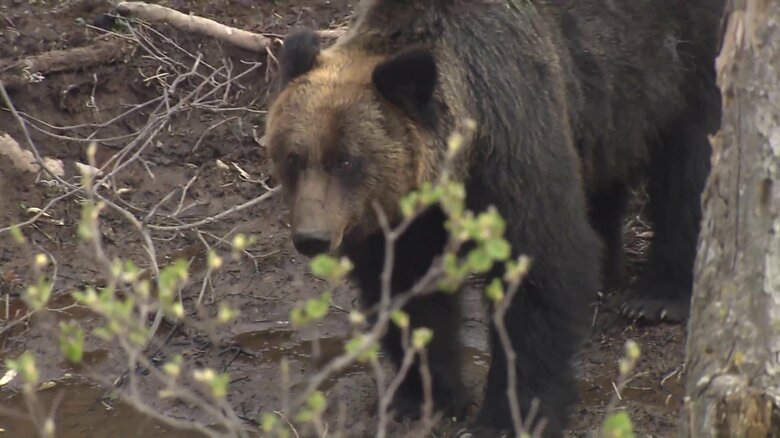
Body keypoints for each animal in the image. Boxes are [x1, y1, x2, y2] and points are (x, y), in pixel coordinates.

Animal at [263, 0, 725, 436]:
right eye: (293, 159)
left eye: (345, 161)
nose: (312, 238)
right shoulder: (407, 214)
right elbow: (408, 288)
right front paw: (419, 398)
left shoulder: (513, 135)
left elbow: (540, 267)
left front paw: (506, 417)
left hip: (685, 52)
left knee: (689, 165)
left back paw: (658, 295)